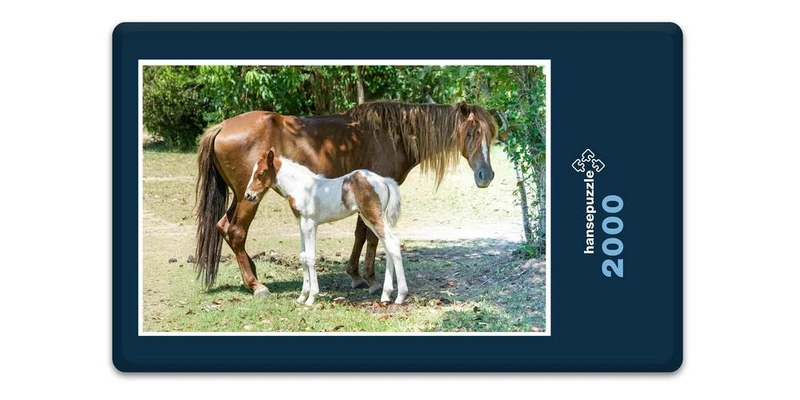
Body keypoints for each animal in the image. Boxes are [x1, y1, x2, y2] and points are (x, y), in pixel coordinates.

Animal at [243, 148, 406, 304]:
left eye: (261, 173)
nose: (248, 195)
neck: (300, 187)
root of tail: (384, 180)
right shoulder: (301, 224)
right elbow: (303, 256)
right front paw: (302, 297)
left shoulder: (309, 224)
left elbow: (310, 257)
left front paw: (311, 297)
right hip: (369, 219)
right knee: (388, 246)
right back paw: (386, 295)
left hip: (373, 217)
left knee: (393, 243)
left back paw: (400, 296)